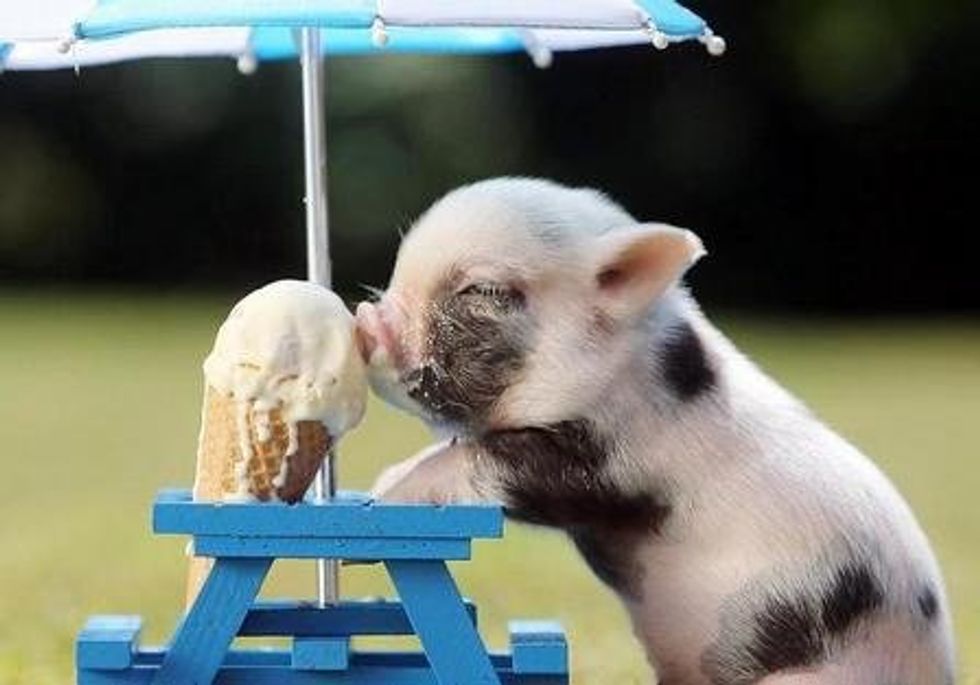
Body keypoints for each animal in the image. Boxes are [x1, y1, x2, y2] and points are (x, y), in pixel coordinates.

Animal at [355, 178, 955, 685]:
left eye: (482, 290)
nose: (366, 318)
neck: (624, 368)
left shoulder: (610, 462)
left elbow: (487, 460)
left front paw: (384, 493)